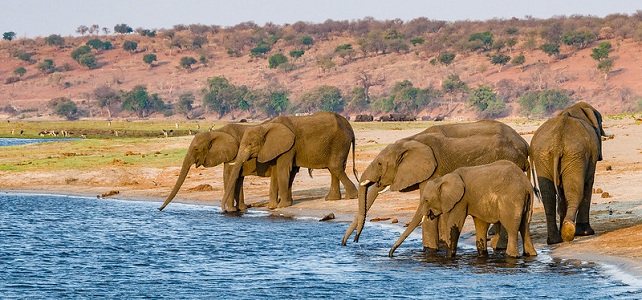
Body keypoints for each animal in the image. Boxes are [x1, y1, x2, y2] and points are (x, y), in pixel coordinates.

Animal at [222, 111, 358, 210]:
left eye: (250, 144)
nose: (223, 209)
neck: (266, 126)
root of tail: (350, 127)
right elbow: (284, 171)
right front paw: (278, 205)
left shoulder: (289, 147)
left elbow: (283, 170)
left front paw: (282, 206)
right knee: (334, 168)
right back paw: (332, 199)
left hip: (339, 142)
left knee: (335, 167)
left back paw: (351, 197)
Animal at [338, 119, 528, 251]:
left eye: (379, 164)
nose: (351, 242)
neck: (410, 141)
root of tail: (523, 143)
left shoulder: (434, 170)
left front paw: (429, 250)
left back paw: (499, 247)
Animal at [388, 162, 536, 258]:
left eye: (426, 200)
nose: (390, 255)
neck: (443, 179)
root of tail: (527, 185)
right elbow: (480, 224)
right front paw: (482, 256)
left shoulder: (461, 200)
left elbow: (455, 223)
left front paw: (449, 257)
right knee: (525, 226)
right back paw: (531, 255)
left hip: (511, 200)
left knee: (512, 228)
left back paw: (512, 256)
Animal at [528, 101, 604, 244]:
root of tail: (557, 144)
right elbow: (588, 184)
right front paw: (586, 233)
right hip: (575, 155)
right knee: (575, 192)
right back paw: (569, 231)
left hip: (543, 156)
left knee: (548, 196)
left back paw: (555, 239)